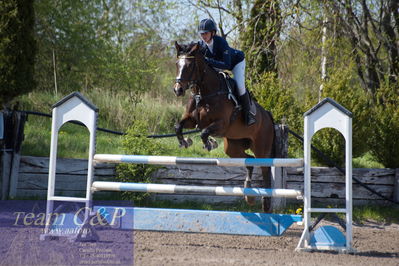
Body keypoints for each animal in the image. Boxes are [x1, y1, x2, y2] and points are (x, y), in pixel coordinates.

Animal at [173, 41, 276, 212]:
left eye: (189, 65)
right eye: (177, 64)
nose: (178, 90)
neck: (204, 92)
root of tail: (268, 115)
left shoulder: (221, 124)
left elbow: (204, 132)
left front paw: (209, 144)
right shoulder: (191, 121)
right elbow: (178, 126)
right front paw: (184, 142)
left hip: (262, 147)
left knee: (265, 169)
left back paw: (266, 203)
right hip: (232, 147)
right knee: (250, 161)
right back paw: (249, 195)